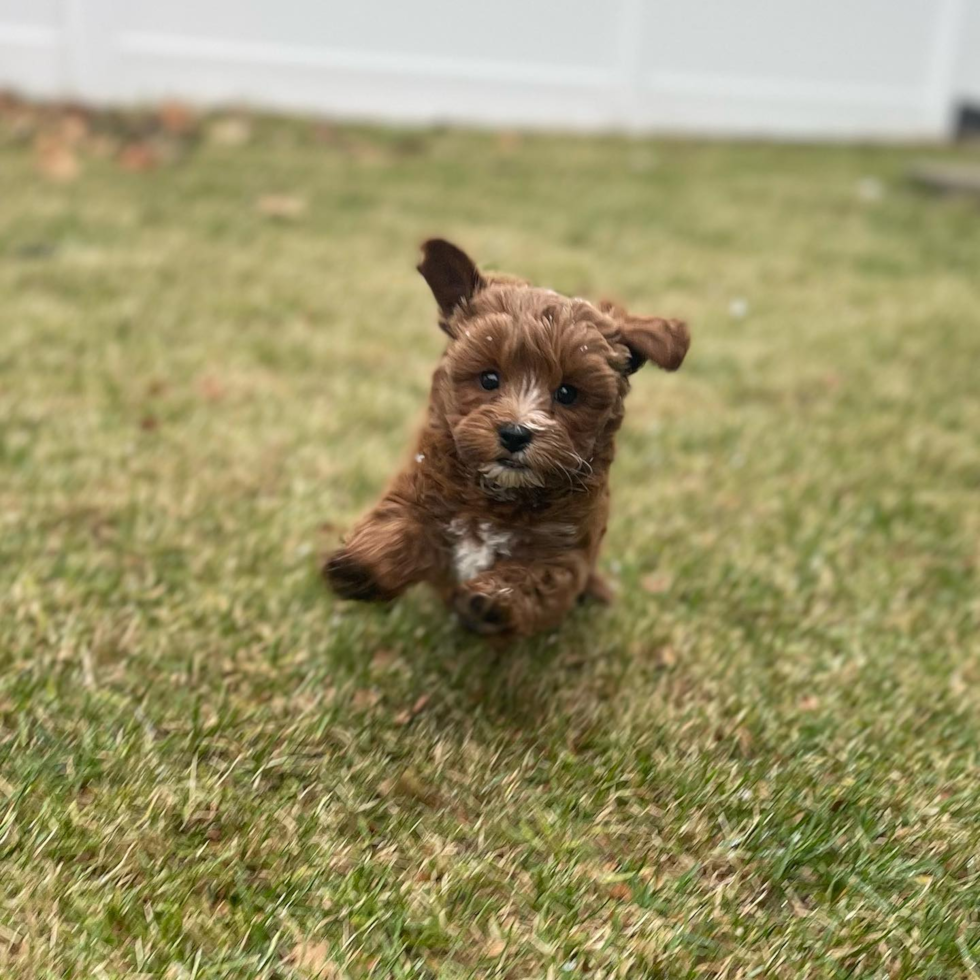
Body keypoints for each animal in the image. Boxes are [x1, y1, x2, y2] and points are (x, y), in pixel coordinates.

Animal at [324, 237, 688, 636]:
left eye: (567, 393)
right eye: (489, 379)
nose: (515, 433)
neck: (500, 493)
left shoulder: (564, 550)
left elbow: (536, 578)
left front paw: (492, 601)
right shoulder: (421, 495)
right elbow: (400, 526)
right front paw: (359, 568)